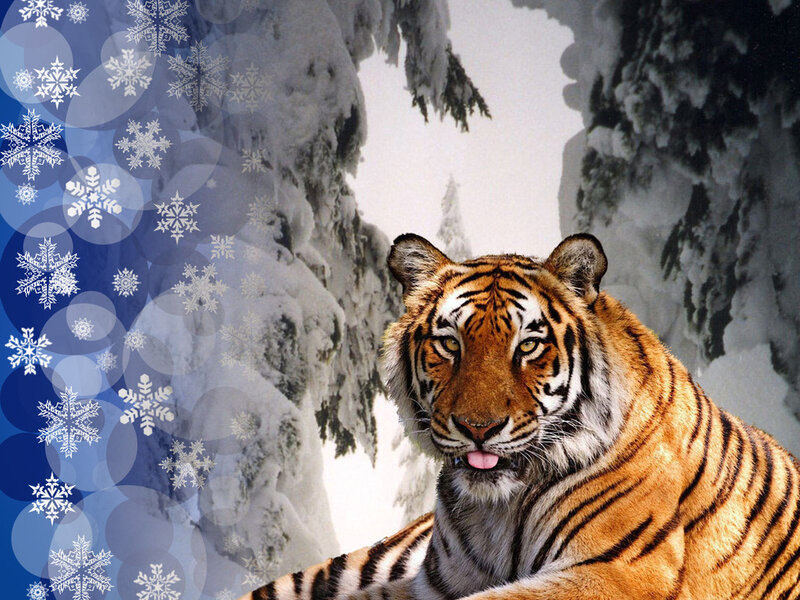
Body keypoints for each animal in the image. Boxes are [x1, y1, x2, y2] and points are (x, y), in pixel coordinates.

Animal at [240, 233, 800, 600]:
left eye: (528, 345)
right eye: (450, 343)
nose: (478, 428)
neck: (498, 509)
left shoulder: (616, 571)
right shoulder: (432, 583)